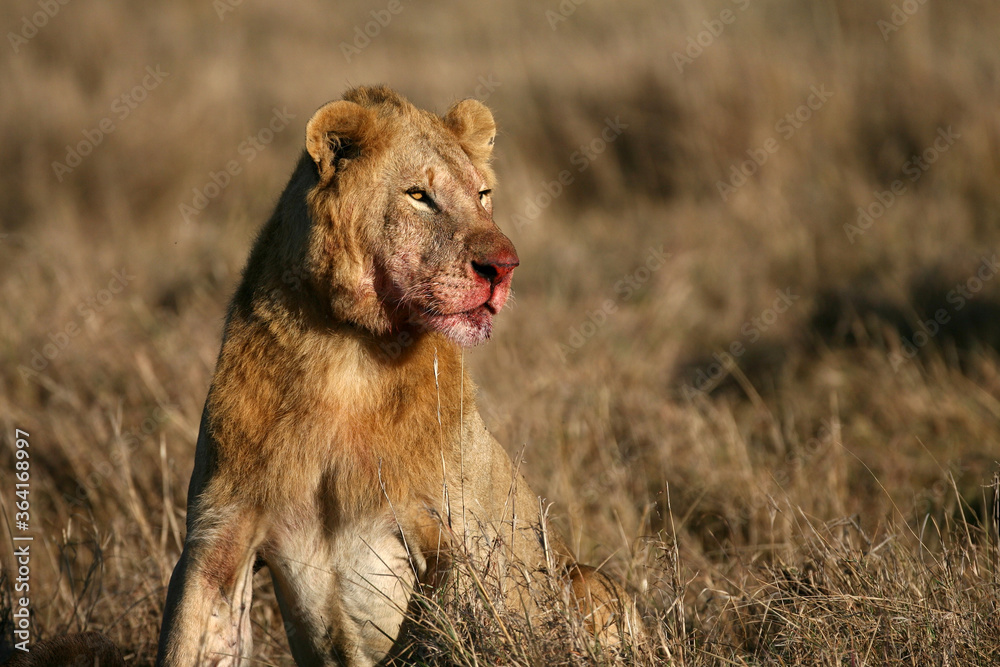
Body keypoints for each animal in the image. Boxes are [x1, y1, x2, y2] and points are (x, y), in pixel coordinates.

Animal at [156, 85, 640, 667]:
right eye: (418, 195)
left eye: (482, 194)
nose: (504, 267)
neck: (345, 357)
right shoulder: (218, 531)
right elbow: (190, 637)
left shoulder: (463, 542)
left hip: (590, 580)